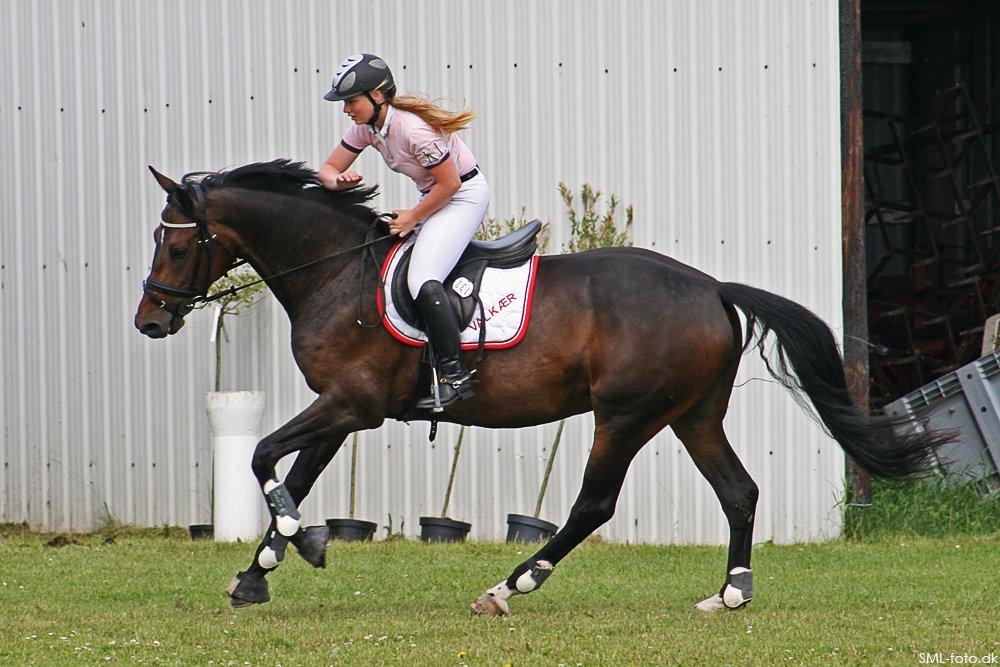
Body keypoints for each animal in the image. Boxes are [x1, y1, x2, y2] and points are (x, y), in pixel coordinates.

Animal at [135, 160, 952, 616]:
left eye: (174, 243)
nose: (149, 320)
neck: (337, 270)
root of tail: (712, 288)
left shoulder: (350, 406)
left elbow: (262, 459)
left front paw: (299, 546)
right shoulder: (341, 412)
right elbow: (291, 479)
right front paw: (261, 573)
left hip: (625, 415)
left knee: (594, 504)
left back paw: (510, 587)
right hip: (692, 415)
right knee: (739, 492)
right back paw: (729, 593)